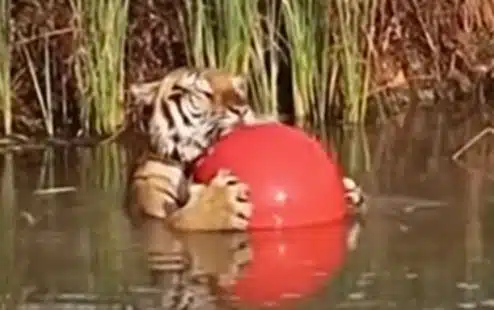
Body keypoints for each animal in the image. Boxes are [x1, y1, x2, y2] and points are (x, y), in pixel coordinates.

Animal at [124, 66, 362, 232]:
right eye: (205, 93)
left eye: (238, 89)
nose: (241, 108)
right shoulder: (154, 211)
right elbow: (180, 220)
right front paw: (223, 202)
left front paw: (350, 192)